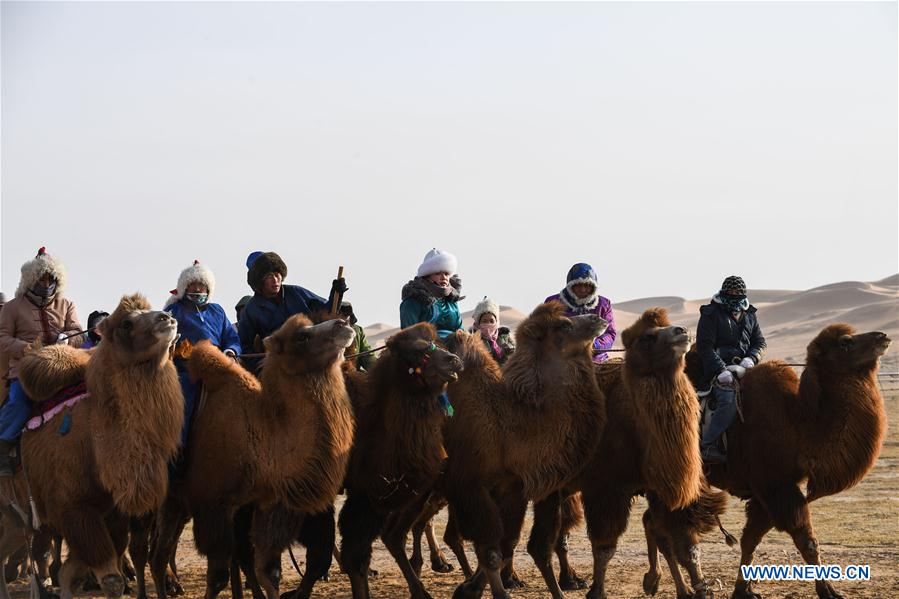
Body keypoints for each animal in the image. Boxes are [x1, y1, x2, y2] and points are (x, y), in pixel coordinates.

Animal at [0, 294, 183, 599]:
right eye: (126, 323)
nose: (167, 318)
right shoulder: (75, 510)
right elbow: (110, 578)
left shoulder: (111, 513)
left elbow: (73, 573)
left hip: (16, 518)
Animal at [150, 314, 356, 599]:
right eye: (301, 336)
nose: (342, 323)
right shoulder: (212, 505)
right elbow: (218, 577)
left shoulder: (267, 503)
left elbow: (267, 571)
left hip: (174, 500)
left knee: (157, 558)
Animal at [338, 324, 464, 599]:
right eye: (417, 350)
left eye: (437, 343)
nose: (454, 360)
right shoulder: (364, 495)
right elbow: (359, 552)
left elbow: (366, 551)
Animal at [440, 304, 608, 599]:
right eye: (563, 324)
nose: (598, 318)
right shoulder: (469, 486)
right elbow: (492, 551)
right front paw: (486, 590)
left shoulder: (512, 487)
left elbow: (508, 544)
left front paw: (469, 588)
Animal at [684, 328, 888, 599]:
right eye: (845, 342)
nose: (882, 337)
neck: (798, 424)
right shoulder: (775, 486)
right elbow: (807, 541)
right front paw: (828, 591)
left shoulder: (768, 493)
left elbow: (750, 540)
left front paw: (744, 590)